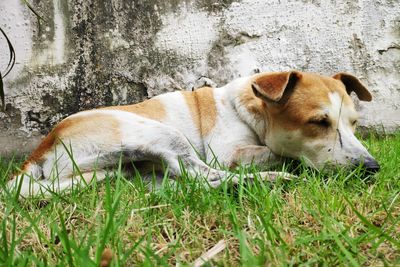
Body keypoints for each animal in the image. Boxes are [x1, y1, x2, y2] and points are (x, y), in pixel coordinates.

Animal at [8, 70, 378, 198]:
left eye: (354, 123)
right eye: (319, 122)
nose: (372, 168)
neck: (249, 111)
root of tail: (41, 149)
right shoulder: (228, 155)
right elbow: (281, 154)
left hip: (129, 172)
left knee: (186, 182)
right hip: (163, 134)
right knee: (200, 174)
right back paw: (269, 180)